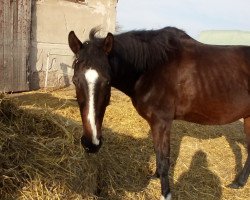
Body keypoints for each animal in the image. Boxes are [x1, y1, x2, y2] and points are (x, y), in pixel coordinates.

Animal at [68, 27, 250, 200]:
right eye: (75, 81)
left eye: (107, 81)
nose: (91, 143)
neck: (151, 68)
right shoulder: (155, 123)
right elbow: (157, 153)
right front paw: (156, 176)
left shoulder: (162, 123)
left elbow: (164, 160)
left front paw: (165, 193)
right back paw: (239, 183)